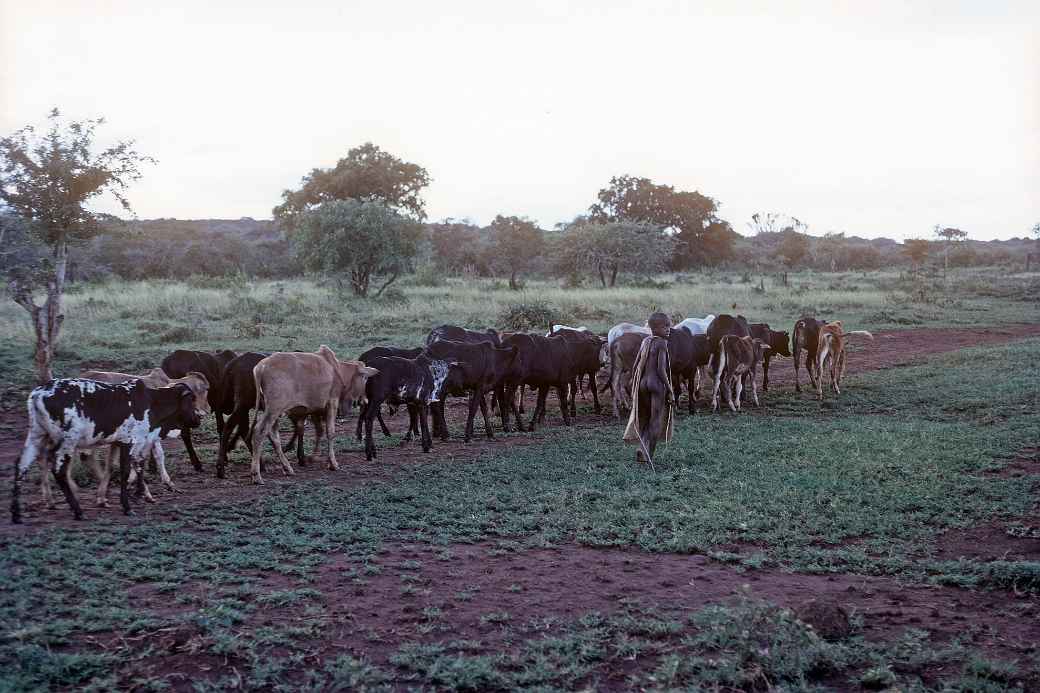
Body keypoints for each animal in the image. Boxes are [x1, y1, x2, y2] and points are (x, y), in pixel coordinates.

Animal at [11, 378, 202, 518]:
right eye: (191, 400)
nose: (199, 418)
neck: (151, 402)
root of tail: (38, 393)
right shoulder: (129, 441)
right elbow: (126, 470)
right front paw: (127, 505)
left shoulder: (122, 442)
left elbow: (129, 465)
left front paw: (140, 494)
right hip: (67, 441)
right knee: (58, 469)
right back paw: (77, 510)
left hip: (36, 435)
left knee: (22, 465)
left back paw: (17, 513)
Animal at [247, 345, 378, 484]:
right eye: (364, 377)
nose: (365, 399)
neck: (337, 369)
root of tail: (261, 367)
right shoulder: (332, 402)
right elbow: (330, 432)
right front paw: (333, 463)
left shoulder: (314, 409)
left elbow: (318, 431)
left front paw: (313, 457)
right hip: (274, 409)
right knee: (259, 432)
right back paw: (256, 475)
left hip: (273, 411)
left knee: (273, 436)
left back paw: (287, 468)